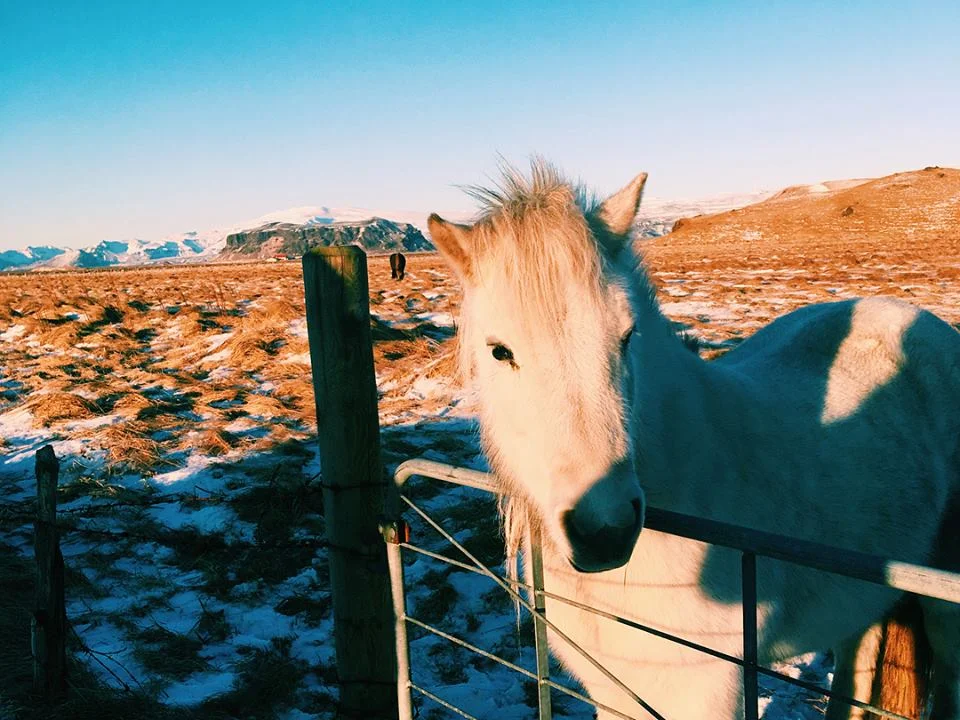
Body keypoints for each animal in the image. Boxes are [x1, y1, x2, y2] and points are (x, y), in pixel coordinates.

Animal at [427, 159, 960, 720]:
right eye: (499, 351)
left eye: (627, 336)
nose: (605, 531)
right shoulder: (612, 691)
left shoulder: (706, 690)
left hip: (943, 600)